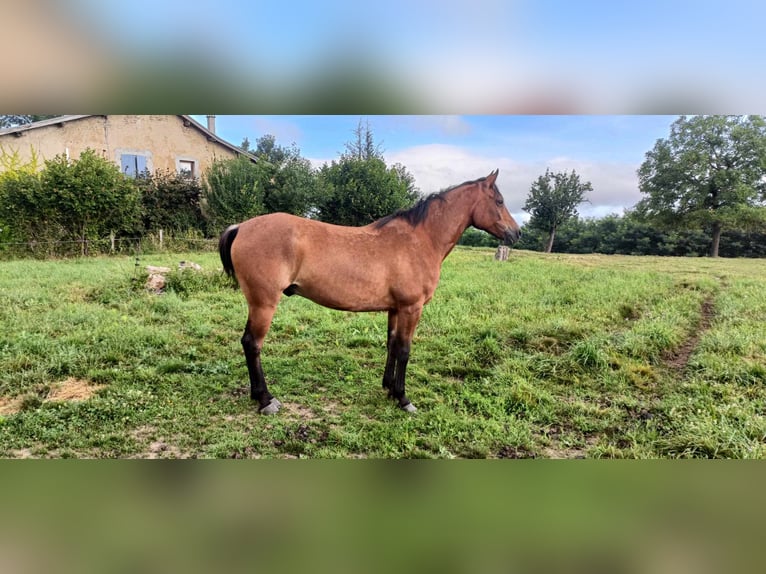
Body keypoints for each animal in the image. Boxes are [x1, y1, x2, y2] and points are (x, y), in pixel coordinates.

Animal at [219, 169, 524, 416]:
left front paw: (388, 388)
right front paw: (403, 398)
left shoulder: (395, 309)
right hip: (264, 303)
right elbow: (405, 350)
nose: (517, 233)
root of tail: (241, 226)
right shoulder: (412, 308)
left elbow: (392, 345)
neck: (420, 240)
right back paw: (265, 400)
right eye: (499, 201)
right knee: (252, 344)